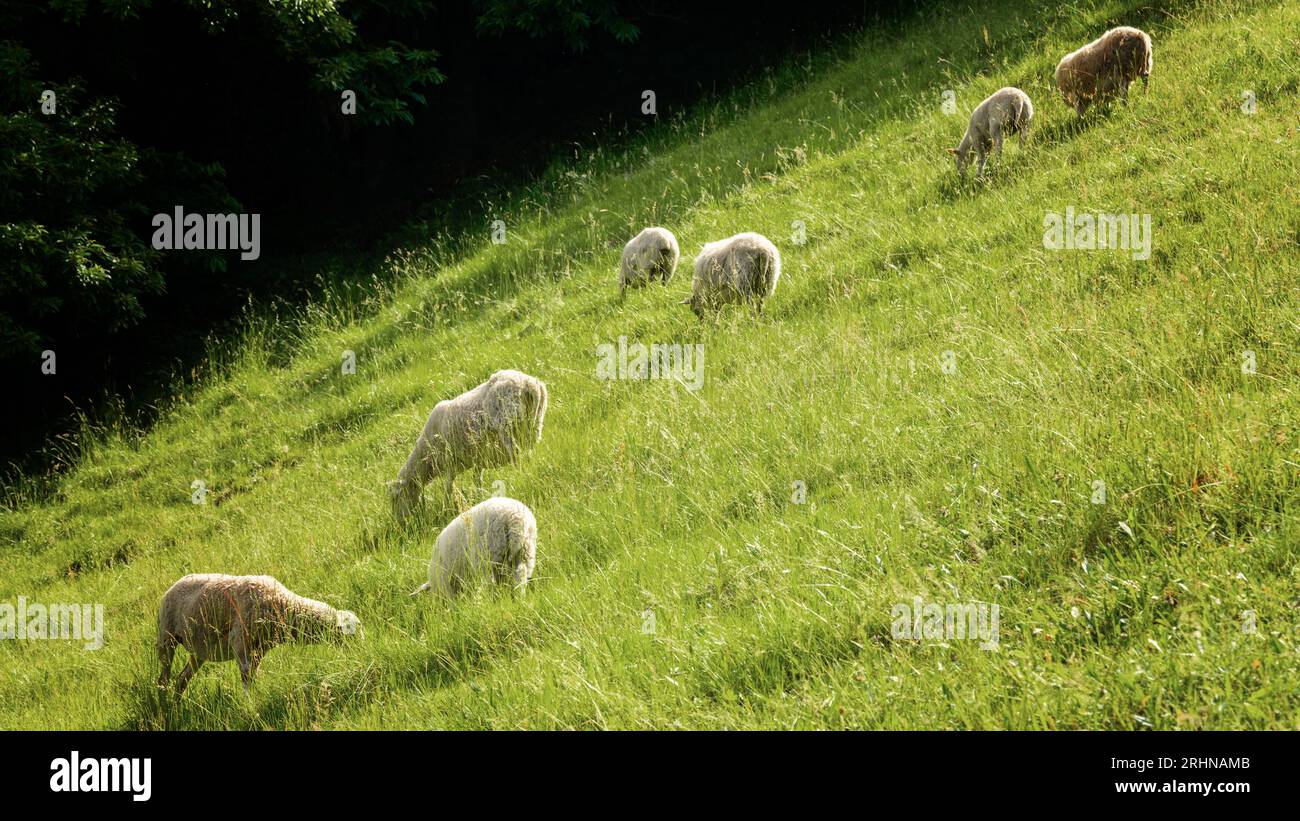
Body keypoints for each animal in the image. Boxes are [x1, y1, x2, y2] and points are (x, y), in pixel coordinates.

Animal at [157, 574, 361, 696]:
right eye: (350, 636)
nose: (358, 656)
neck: (284, 605)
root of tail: (176, 583)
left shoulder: (260, 649)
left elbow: (254, 676)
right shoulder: (240, 642)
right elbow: (247, 677)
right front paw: (250, 702)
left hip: (199, 651)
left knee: (181, 679)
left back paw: (176, 704)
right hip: (166, 637)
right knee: (164, 677)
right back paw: (163, 701)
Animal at [389, 369, 547, 519]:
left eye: (395, 498)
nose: (400, 523)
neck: (426, 456)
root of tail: (527, 383)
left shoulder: (449, 464)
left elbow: (448, 489)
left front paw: (445, 511)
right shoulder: (477, 460)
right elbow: (477, 480)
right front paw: (479, 497)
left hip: (507, 425)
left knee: (516, 454)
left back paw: (518, 476)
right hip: (533, 425)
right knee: (528, 454)